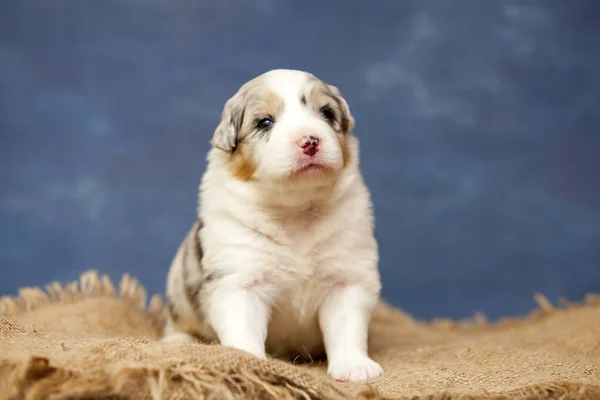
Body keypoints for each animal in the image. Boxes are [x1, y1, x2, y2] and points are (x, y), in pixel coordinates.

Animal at [162, 69, 382, 384]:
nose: (310, 141)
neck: (295, 210)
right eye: (265, 122)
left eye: (326, 113)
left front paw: (355, 366)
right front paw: (246, 362)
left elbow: (346, 326)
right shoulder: (239, 282)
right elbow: (243, 329)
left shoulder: (347, 279)